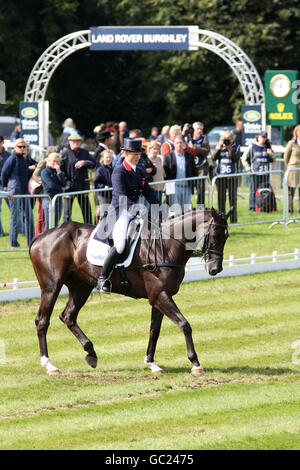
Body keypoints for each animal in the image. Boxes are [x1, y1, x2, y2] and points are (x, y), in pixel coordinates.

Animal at [29, 207, 231, 376]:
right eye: (214, 235)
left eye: (226, 236)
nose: (215, 269)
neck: (165, 246)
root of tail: (41, 236)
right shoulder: (159, 295)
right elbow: (184, 324)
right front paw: (196, 363)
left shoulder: (159, 296)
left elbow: (154, 330)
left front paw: (152, 364)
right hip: (51, 288)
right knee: (42, 321)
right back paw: (49, 365)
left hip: (81, 287)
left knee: (68, 316)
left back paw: (91, 353)